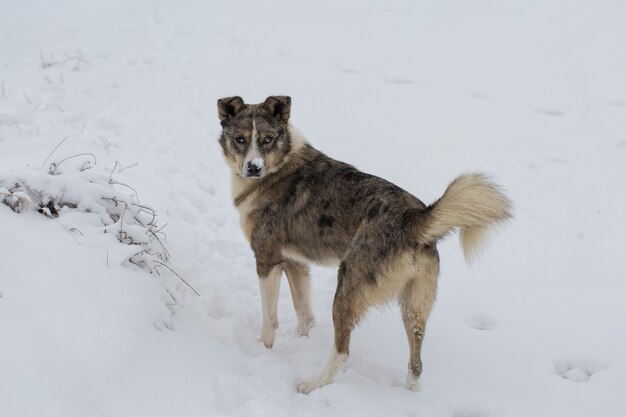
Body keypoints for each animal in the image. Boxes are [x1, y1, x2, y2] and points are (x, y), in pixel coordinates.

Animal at [217, 95, 510, 394]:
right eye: (240, 139)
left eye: (267, 139)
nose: (253, 168)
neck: (280, 163)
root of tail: (414, 219)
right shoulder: (295, 263)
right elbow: (305, 315)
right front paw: (301, 340)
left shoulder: (267, 259)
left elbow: (269, 318)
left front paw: (263, 349)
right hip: (414, 307)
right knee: (416, 362)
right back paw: (410, 391)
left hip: (346, 289)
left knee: (342, 351)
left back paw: (312, 386)